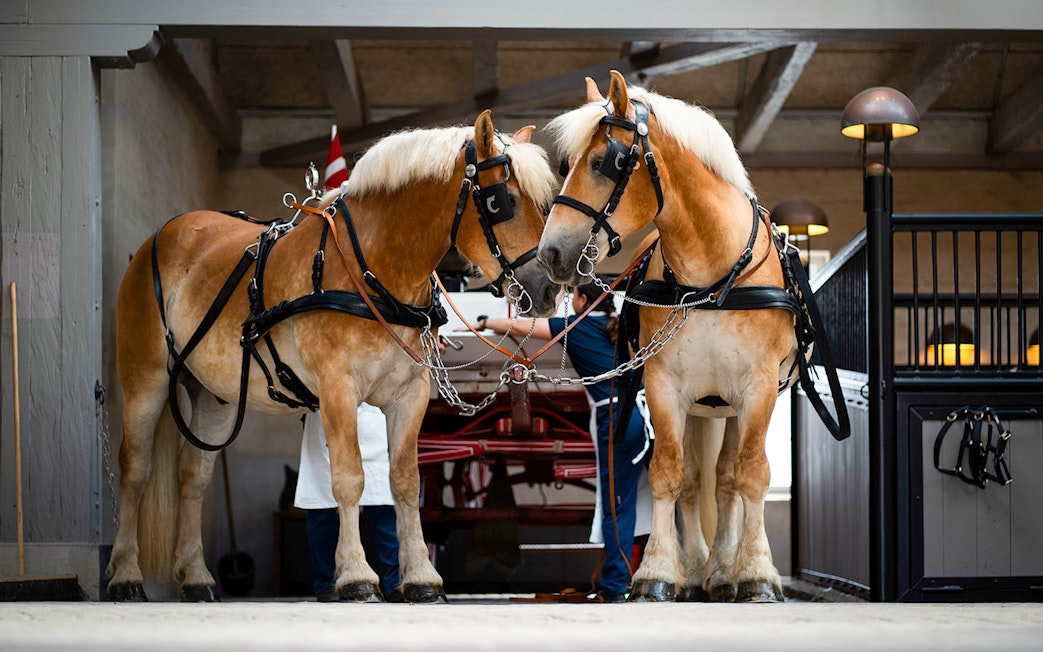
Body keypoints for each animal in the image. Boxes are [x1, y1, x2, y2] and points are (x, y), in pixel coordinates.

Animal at [106, 110, 560, 603]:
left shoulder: (410, 394)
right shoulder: (338, 388)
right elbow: (349, 478)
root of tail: (165, 233)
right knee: (135, 470)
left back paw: (197, 577)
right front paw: (357, 575)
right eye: (503, 201)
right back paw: (125, 574)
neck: (374, 270)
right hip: (146, 379)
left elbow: (405, 482)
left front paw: (421, 577)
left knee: (193, 480)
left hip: (215, 396)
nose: (550, 289)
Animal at [538, 71, 799, 602]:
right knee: (699, 479)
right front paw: (657, 572)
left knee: (728, 478)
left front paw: (758, 573)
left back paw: (725, 570)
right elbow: (668, 474)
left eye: (605, 162)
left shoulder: (759, 387)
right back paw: (702, 568)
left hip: (732, 404)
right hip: (701, 403)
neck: (712, 280)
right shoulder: (663, 384)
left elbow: (752, 474)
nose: (550, 252)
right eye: (566, 164)